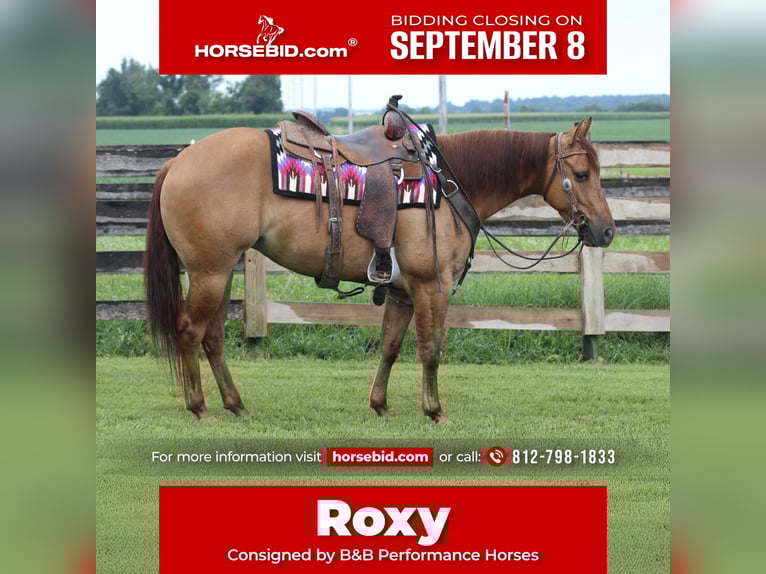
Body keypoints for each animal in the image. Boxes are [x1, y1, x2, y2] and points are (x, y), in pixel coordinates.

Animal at [143, 116, 615, 422]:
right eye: (581, 173)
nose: (607, 230)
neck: (447, 184)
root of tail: (178, 162)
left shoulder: (402, 290)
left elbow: (390, 345)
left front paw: (380, 404)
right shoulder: (431, 286)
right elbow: (430, 348)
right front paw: (434, 410)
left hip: (222, 272)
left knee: (213, 337)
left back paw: (235, 404)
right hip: (210, 273)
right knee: (190, 331)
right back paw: (199, 407)